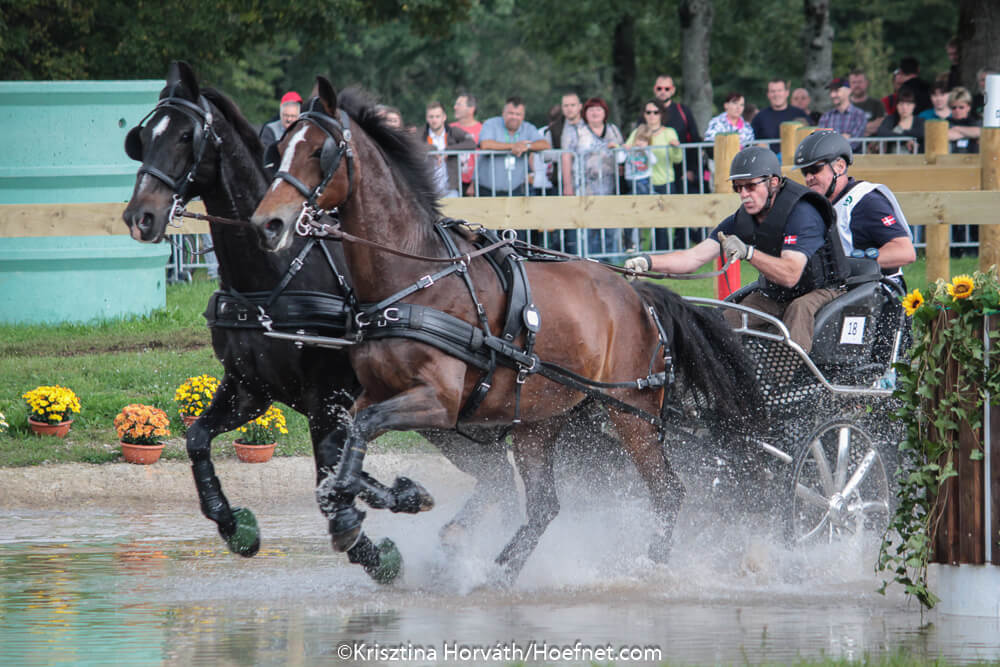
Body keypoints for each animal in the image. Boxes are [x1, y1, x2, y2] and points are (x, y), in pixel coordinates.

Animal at [123, 64, 564, 584]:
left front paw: (375, 541)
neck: (277, 274)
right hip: (455, 421)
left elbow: (328, 471)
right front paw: (235, 526)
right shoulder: (251, 388)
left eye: (185, 136)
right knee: (499, 482)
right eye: (143, 137)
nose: (140, 216)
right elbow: (197, 440)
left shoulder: (327, 396)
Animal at [252, 77, 764, 580]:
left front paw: (358, 513)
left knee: (666, 492)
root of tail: (640, 296)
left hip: (632, 413)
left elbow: (359, 430)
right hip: (541, 420)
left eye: (318, 151)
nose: (267, 223)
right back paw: (500, 569)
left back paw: (646, 565)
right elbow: (345, 442)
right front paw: (387, 499)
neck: (414, 279)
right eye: (277, 149)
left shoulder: (440, 402)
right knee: (544, 506)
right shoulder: (377, 392)